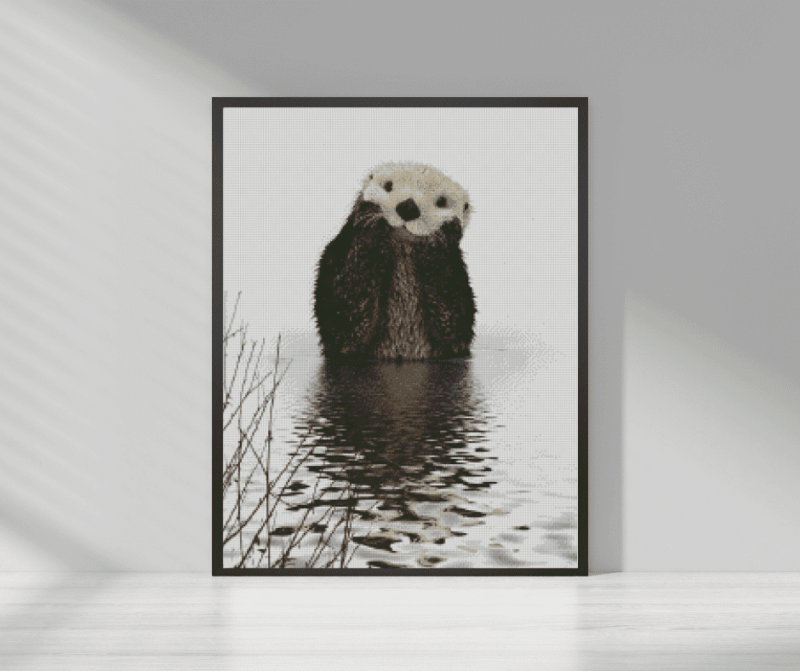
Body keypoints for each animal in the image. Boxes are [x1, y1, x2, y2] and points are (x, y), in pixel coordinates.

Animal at [314, 162, 476, 360]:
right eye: (388, 186)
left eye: (441, 202)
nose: (408, 207)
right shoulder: (336, 258)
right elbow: (345, 317)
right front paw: (372, 216)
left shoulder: (457, 281)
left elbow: (453, 322)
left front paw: (438, 237)